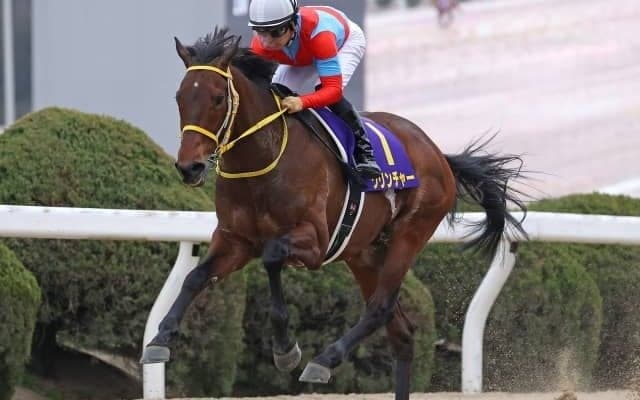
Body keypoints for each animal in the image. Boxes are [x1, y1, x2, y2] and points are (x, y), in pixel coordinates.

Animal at [140, 27, 527, 400]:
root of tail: (438, 154)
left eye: (218, 98)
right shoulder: (235, 240)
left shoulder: (313, 242)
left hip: (410, 232)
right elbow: (195, 277)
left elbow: (271, 256)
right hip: (365, 252)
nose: (189, 167)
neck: (264, 159)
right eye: (180, 97)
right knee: (401, 333)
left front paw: (286, 349)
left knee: (380, 307)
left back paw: (324, 359)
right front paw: (160, 338)